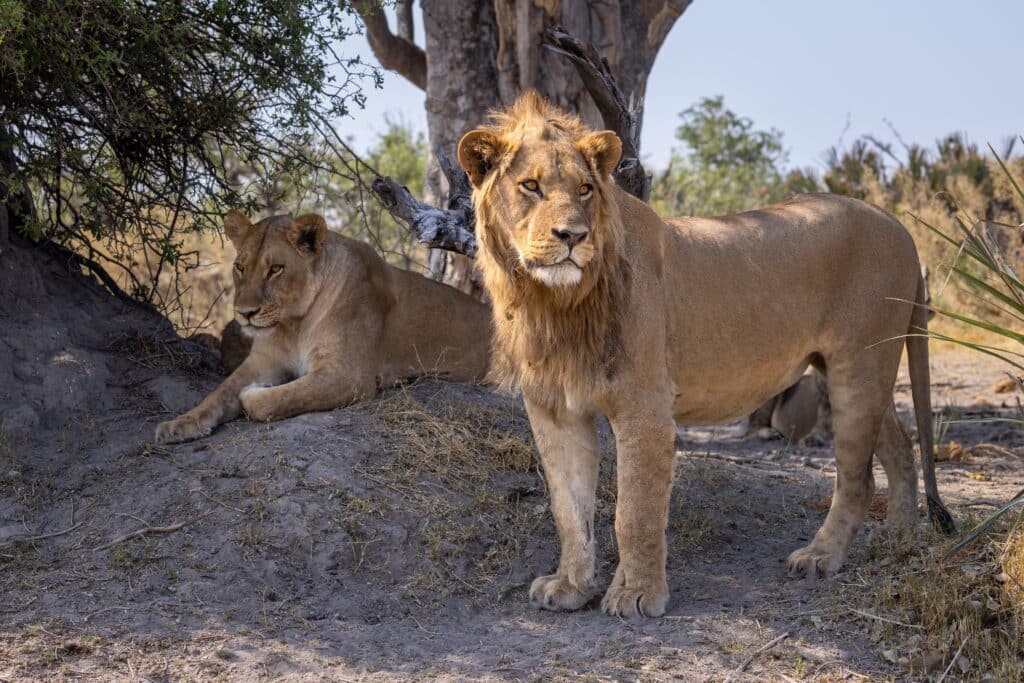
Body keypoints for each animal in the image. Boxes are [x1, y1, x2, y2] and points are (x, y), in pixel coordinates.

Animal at [154, 210, 491, 446]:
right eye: (240, 267)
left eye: (275, 269)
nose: (244, 313)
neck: (293, 324)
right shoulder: (261, 362)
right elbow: (219, 393)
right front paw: (179, 425)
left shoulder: (348, 375)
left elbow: (275, 400)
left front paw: (255, 393)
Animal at [456, 93, 950, 622]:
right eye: (530, 186)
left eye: (585, 189)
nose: (572, 235)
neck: (553, 302)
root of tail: (898, 225)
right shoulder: (555, 408)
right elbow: (569, 509)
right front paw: (570, 586)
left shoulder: (645, 406)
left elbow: (634, 511)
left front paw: (637, 595)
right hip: (858, 370)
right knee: (900, 447)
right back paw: (900, 539)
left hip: (857, 368)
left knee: (858, 478)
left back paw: (822, 556)